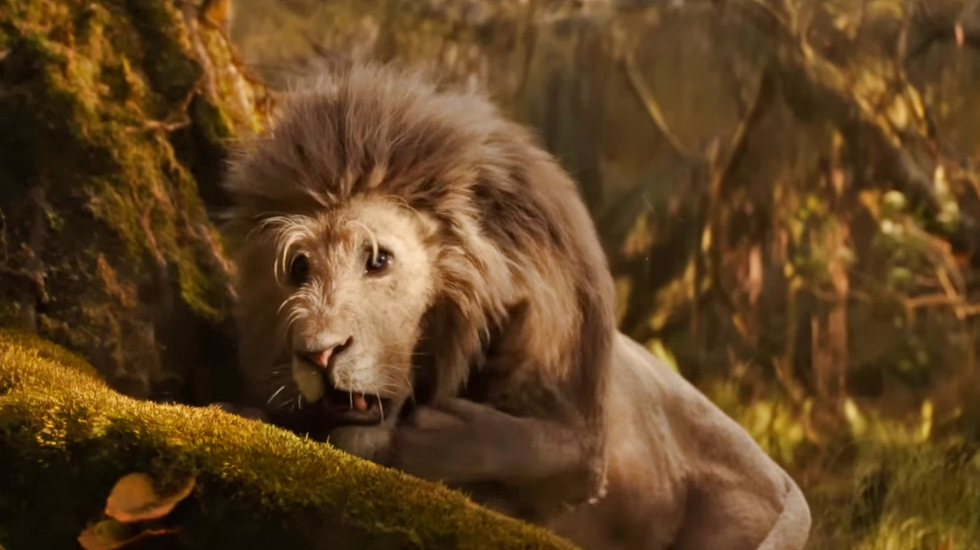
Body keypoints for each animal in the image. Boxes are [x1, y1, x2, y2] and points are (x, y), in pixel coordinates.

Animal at [219, 62, 812, 550]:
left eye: (379, 259)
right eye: (299, 268)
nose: (318, 355)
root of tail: (784, 479)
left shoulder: (580, 424)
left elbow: (534, 447)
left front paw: (438, 438)